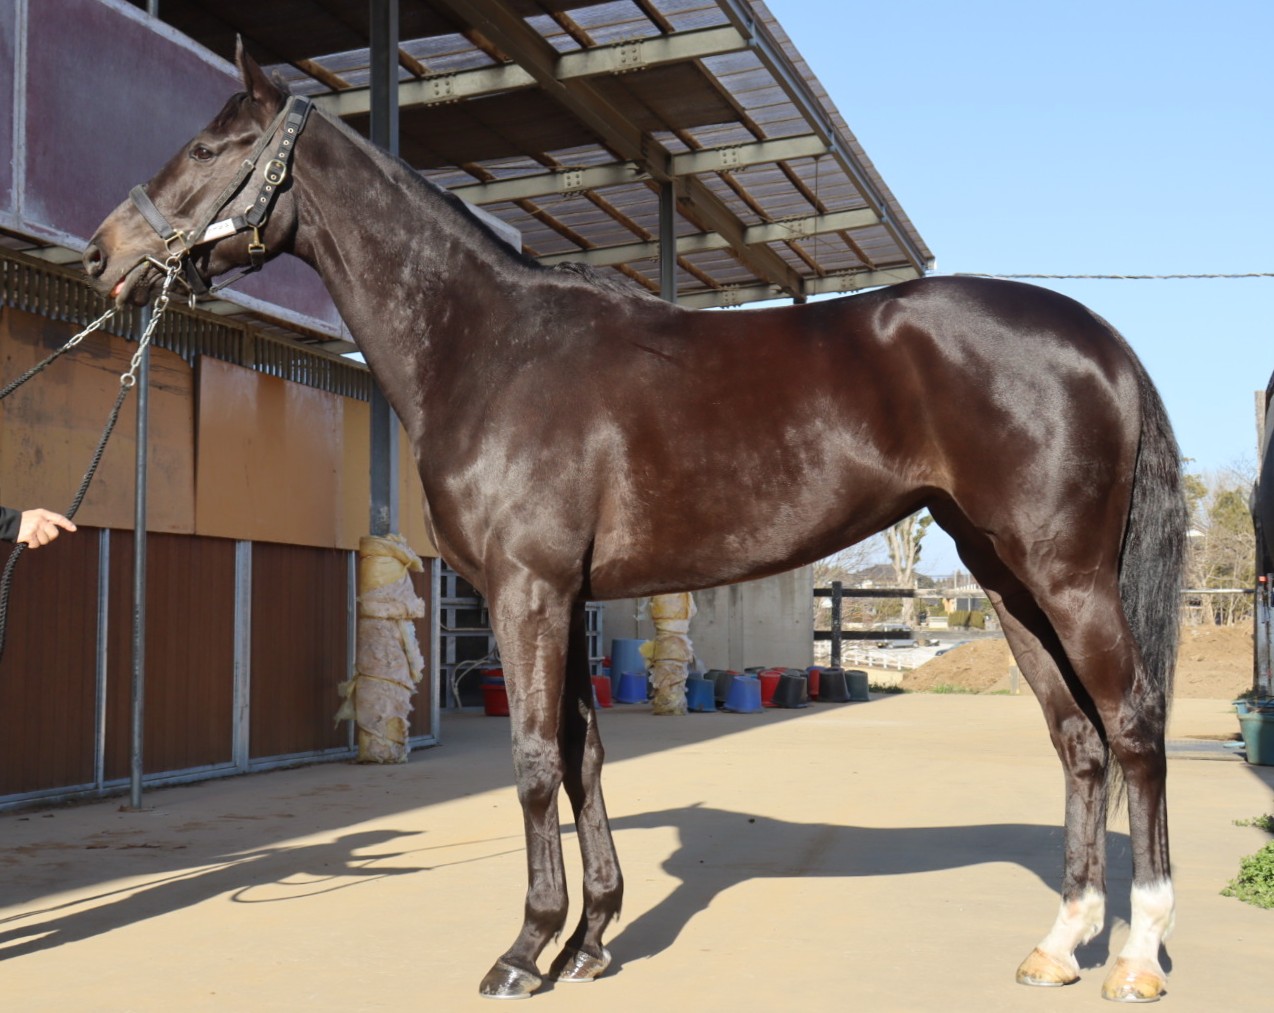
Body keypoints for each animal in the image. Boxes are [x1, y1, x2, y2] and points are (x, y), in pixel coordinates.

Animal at [83, 43, 1186, 1003]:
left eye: (212, 146)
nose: (105, 254)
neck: (493, 348)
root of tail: (1101, 341)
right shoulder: (565, 597)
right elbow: (583, 757)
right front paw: (588, 940)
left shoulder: (527, 591)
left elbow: (535, 760)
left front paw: (524, 949)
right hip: (1005, 580)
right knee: (1076, 739)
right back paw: (1058, 945)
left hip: (1065, 576)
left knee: (1132, 723)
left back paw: (1136, 954)